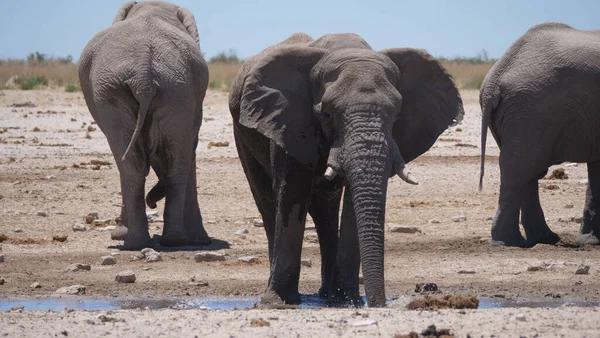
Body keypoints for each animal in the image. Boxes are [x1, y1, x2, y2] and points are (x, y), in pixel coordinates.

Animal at [78, 0, 211, 251]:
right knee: (155, 164)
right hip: (166, 89)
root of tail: (143, 73)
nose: (153, 203)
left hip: (160, 89)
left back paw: (148, 242)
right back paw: (158, 241)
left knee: (140, 165)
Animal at [230, 33, 464, 308]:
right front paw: (278, 303)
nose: (379, 304)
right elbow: (292, 194)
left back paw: (328, 295)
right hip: (242, 132)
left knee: (325, 210)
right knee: (267, 202)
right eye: (327, 114)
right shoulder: (290, 122)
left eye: (396, 115)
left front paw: (347, 301)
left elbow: (353, 202)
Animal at [480, 22, 600, 247]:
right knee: (521, 168)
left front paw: (590, 241)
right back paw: (510, 242)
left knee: (526, 169)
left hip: (521, 112)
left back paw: (544, 238)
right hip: (532, 109)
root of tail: (495, 79)